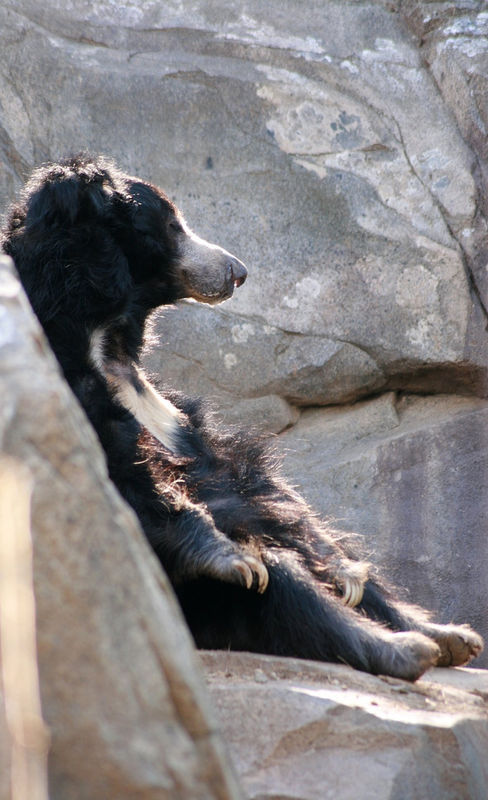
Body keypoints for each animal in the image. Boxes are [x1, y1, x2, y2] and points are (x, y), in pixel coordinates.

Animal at [2, 153, 483, 681]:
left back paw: (446, 634)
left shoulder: (178, 416)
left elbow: (248, 481)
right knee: (280, 579)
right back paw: (405, 649)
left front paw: (342, 570)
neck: (104, 341)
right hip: (195, 605)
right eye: (174, 225)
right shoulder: (65, 389)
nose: (238, 271)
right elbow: (126, 479)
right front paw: (227, 557)